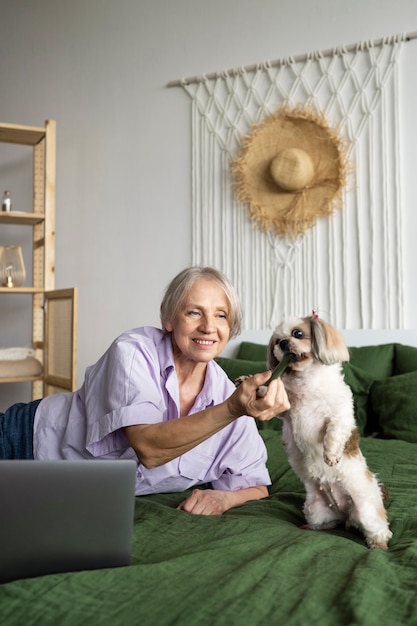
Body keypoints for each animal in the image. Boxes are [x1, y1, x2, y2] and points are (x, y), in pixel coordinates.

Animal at [264, 310, 392, 544]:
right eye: (277, 341)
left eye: (298, 333)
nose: (284, 343)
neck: (307, 383)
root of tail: (346, 513)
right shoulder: (287, 410)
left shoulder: (340, 415)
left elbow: (333, 433)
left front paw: (331, 455)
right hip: (315, 509)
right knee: (328, 523)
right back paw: (310, 527)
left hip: (366, 511)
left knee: (380, 530)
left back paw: (378, 544)